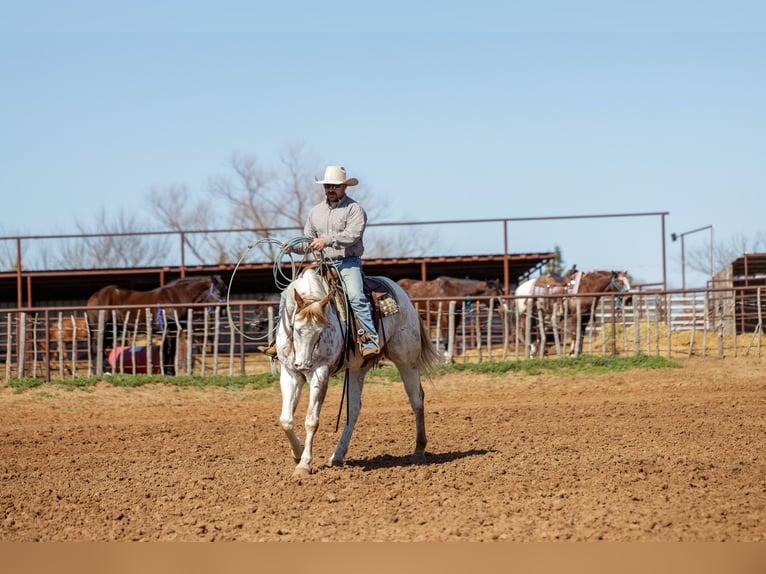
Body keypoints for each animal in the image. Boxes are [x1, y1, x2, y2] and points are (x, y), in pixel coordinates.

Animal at [86, 275, 228, 375]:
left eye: (225, 291)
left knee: (101, 347)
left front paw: (168, 371)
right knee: (96, 346)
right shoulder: (169, 330)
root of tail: (93, 297)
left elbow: (169, 350)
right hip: (102, 329)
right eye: (218, 292)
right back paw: (100, 371)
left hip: (110, 330)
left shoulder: (173, 331)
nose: (224, 311)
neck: (174, 298)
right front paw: (169, 372)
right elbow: (168, 350)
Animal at [276, 267, 440, 478]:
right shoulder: (289, 373)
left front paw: (304, 465)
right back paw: (337, 456)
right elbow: (286, 420)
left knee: (416, 398)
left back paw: (419, 450)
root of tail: (402, 294)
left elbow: (312, 420)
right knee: (353, 408)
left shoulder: (320, 372)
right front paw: (297, 453)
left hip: (406, 359)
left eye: (321, 332)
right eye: (295, 328)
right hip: (356, 369)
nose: (304, 365)